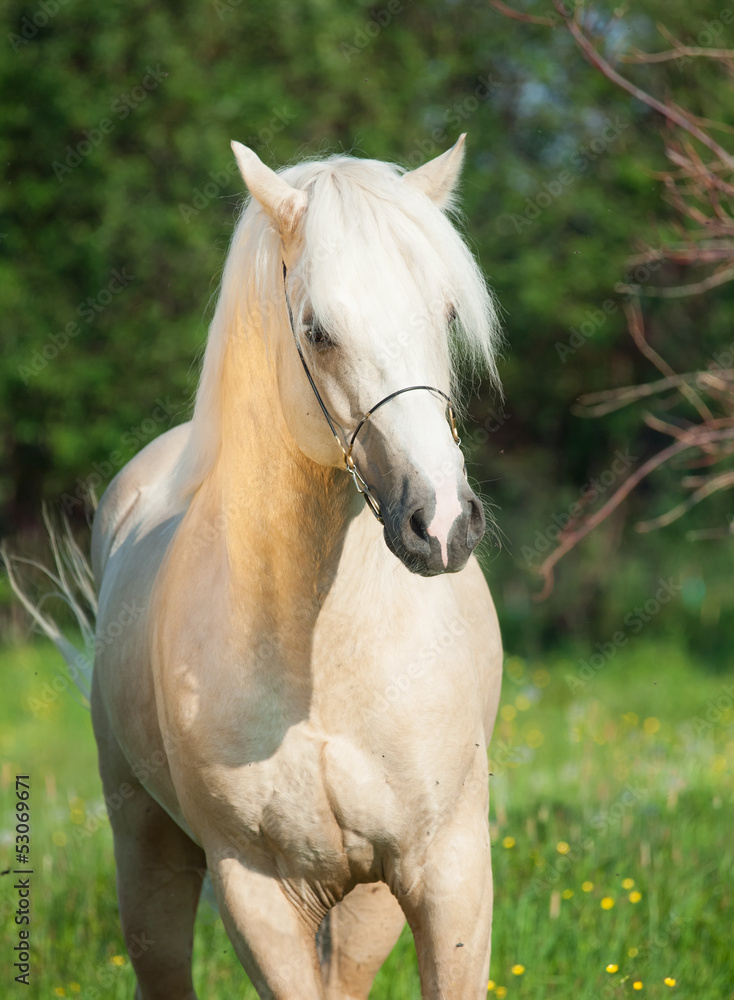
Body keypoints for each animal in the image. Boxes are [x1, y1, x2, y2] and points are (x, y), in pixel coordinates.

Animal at [15, 135, 504, 999]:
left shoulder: (445, 872)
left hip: (365, 903)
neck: (324, 656)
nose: (441, 524)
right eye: (318, 331)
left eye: (447, 314)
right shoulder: (259, 894)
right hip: (147, 850)